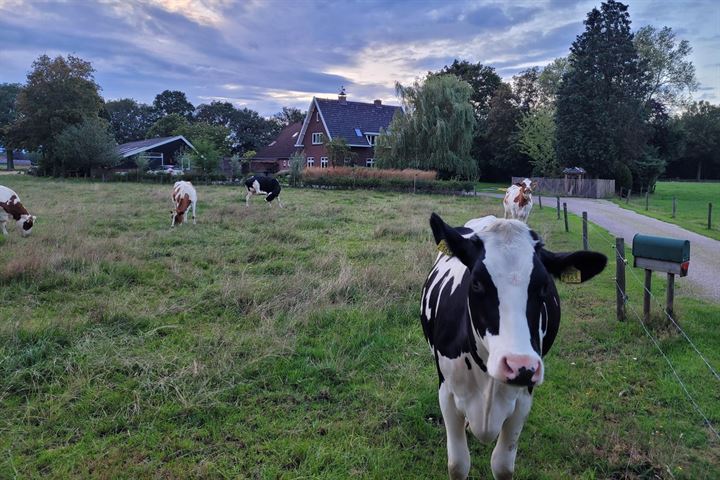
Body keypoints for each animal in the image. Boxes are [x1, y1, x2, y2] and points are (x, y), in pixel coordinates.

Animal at [422, 215, 608, 480]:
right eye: (476, 283)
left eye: (544, 286)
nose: (520, 366)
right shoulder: (447, 394)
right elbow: (458, 464)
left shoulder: (523, 400)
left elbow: (502, 465)